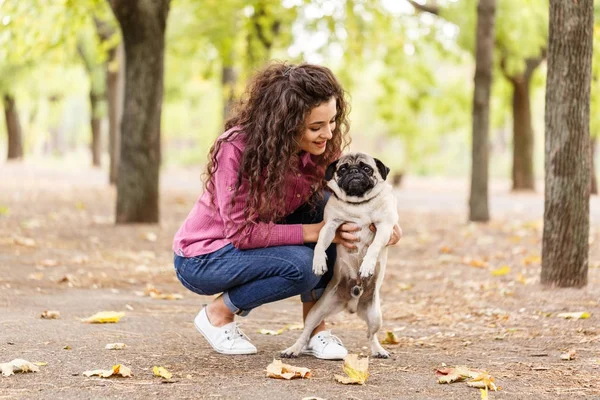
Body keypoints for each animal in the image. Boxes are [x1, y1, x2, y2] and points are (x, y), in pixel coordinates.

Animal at [282, 152, 398, 360]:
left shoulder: (385, 226)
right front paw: (319, 262)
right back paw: (293, 349)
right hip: (316, 312)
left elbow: (374, 246)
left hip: (375, 316)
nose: (354, 171)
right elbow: (320, 243)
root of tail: (352, 301)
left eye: (366, 168)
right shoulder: (330, 225)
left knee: (371, 334)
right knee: (306, 332)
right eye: (342, 169)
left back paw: (379, 350)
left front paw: (367, 265)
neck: (358, 204)